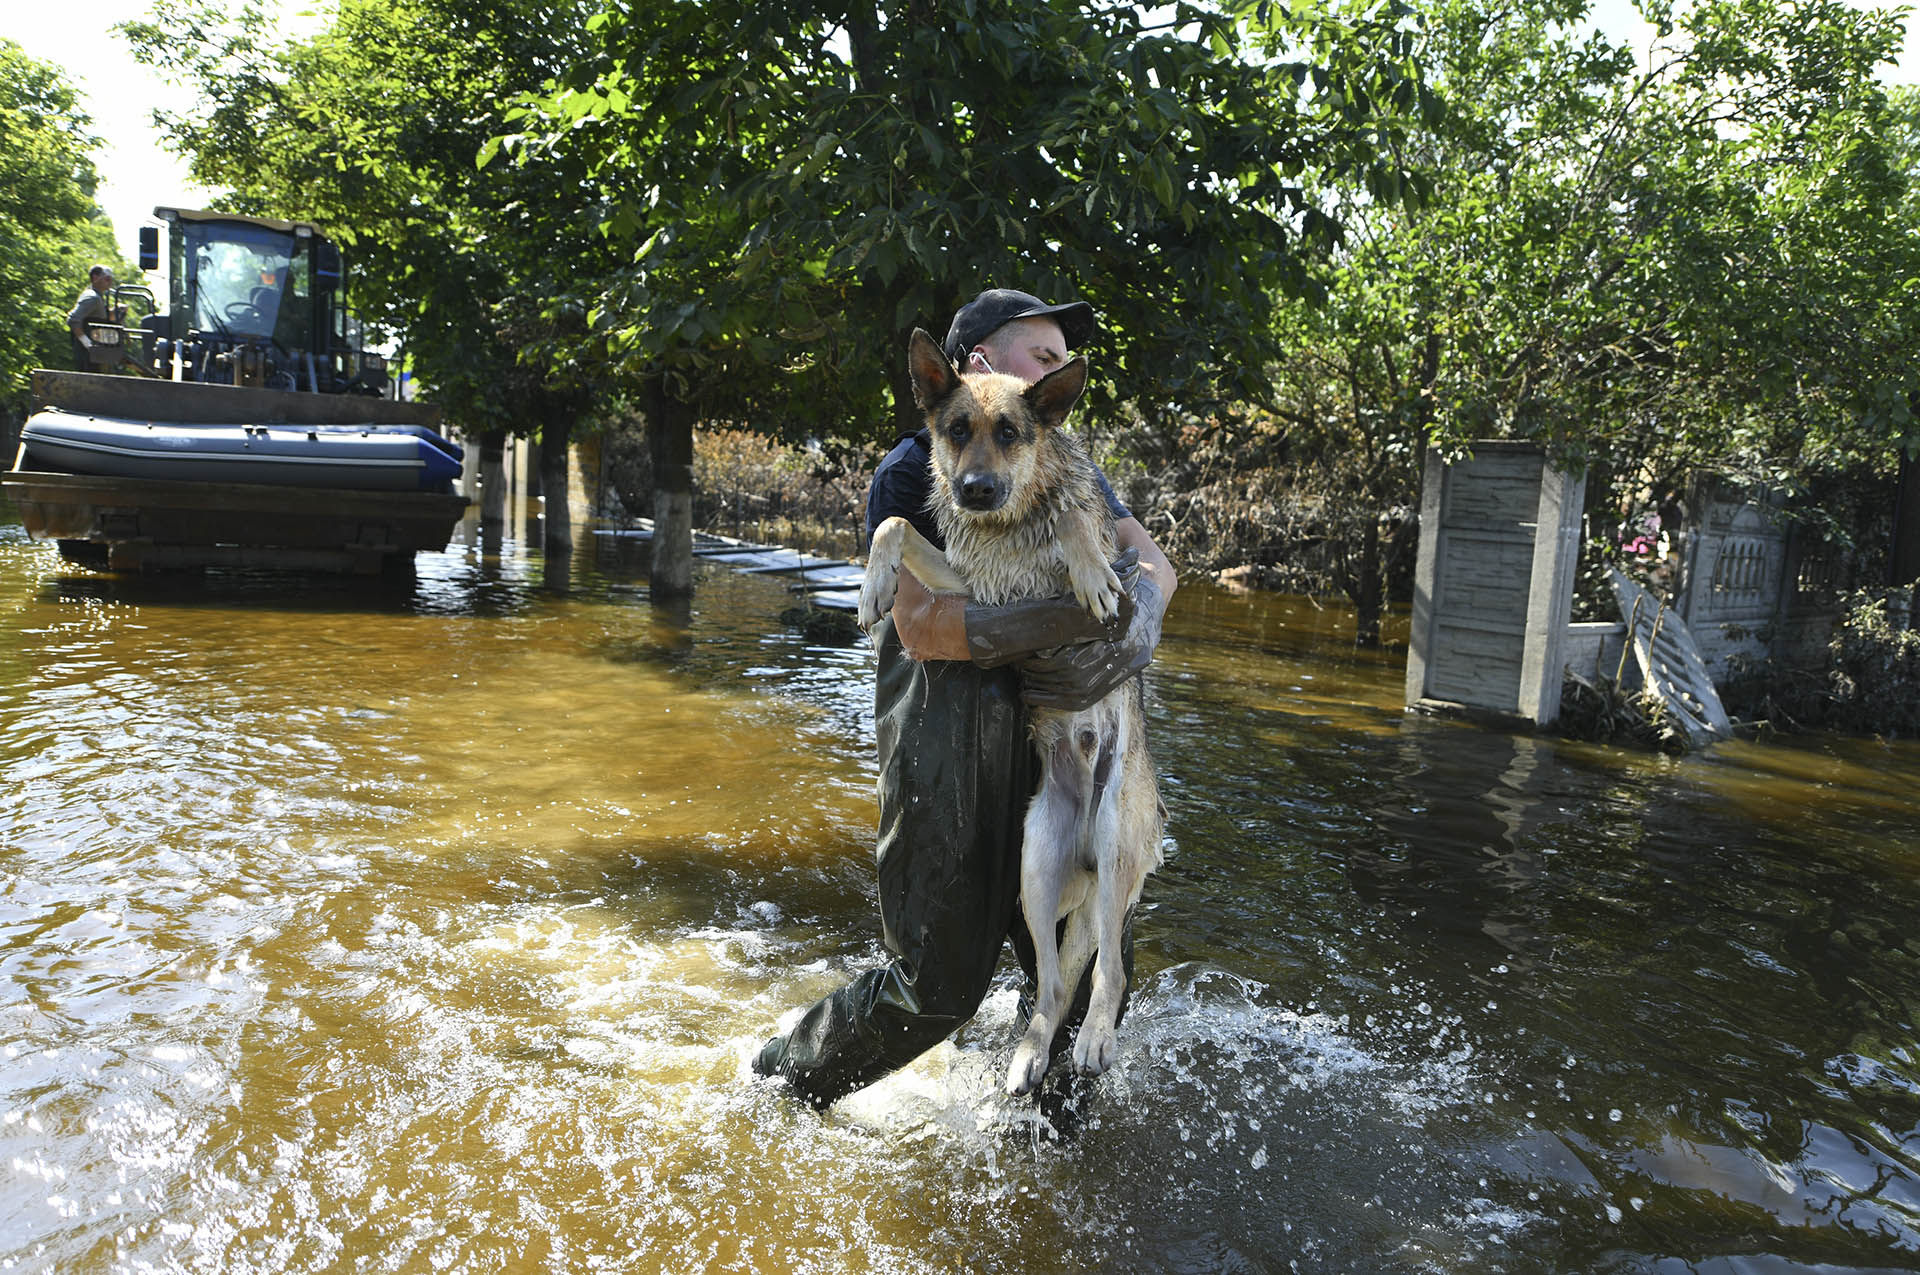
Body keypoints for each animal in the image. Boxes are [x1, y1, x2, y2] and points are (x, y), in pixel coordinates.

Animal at [864, 328, 1159, 1098]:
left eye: (1010, 433)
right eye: (956, 430)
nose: (974, 491)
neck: (1011, 521)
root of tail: (1085, 842)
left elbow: (1079, 521)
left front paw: (1088, 567)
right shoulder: (973, 591)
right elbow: (895, 523)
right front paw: (874, 585)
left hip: (1116, 841)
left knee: (1108, 974)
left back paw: (1093, 1039)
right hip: (1036, 866)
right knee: (1054, 987)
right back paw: (1031, 1053)